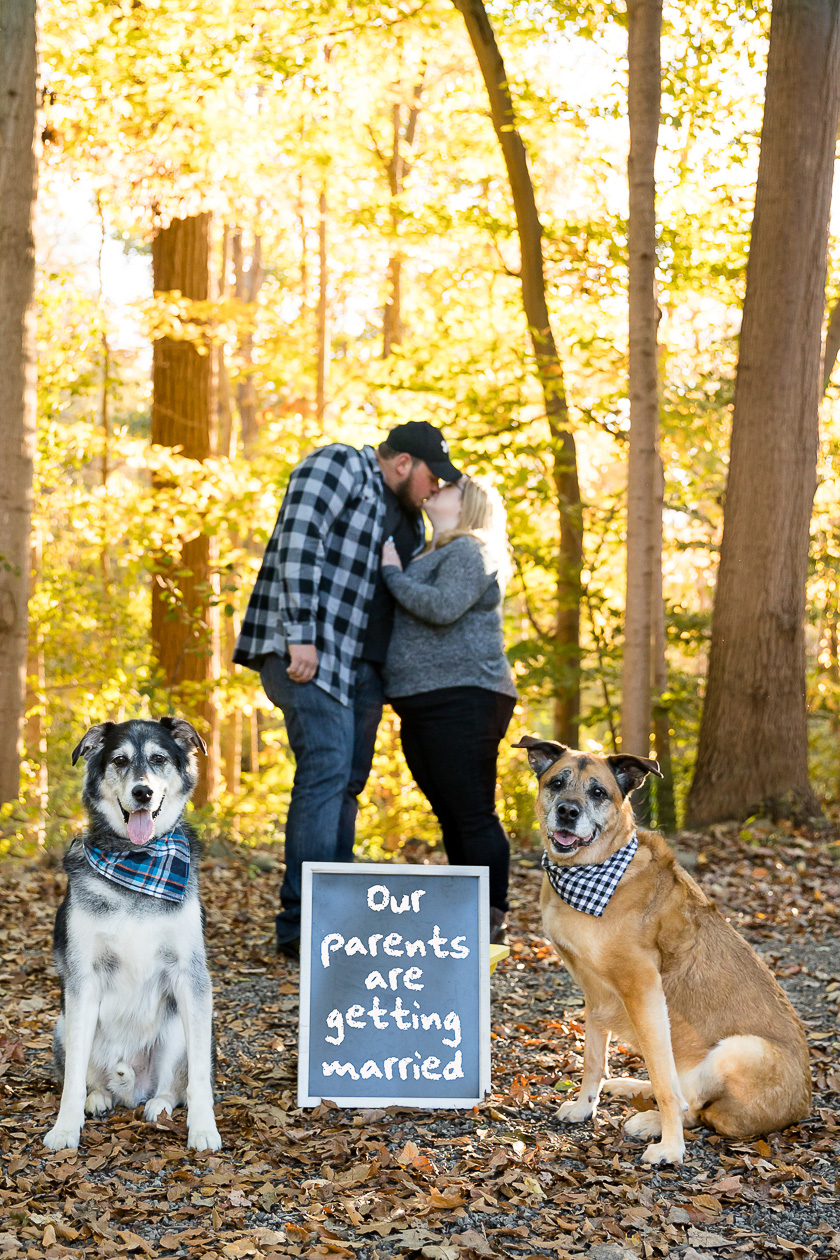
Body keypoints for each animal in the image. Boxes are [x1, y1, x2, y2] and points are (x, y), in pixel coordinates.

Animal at [45, 720, 220, 1154]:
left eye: (158, 758)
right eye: (120, 760)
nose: (142, 792)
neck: (138, 860)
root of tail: (132, 1089)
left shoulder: (191, 976)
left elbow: (199, 1079)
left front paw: (203, 1129)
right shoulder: (83, 980)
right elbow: (72, 1077)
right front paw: (65, 1128)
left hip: (178, 1029)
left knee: (174, 1085)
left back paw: (159, 1104)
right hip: (62, 1024)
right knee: (90, 1076)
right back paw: (99, 1097)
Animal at [516, 735, 811, 1164]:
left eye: (598, 792)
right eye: (557, 782)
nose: (567, 812)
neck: (593, 872)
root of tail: (803, 1108)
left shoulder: (644, 992)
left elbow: (664, 1082)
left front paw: (671, 1148)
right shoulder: (595, 994)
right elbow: (593, 1059)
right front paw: (585, 1107)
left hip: (739, 1050)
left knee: (696, 1109)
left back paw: (651, 1122)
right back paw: (627, 1086)